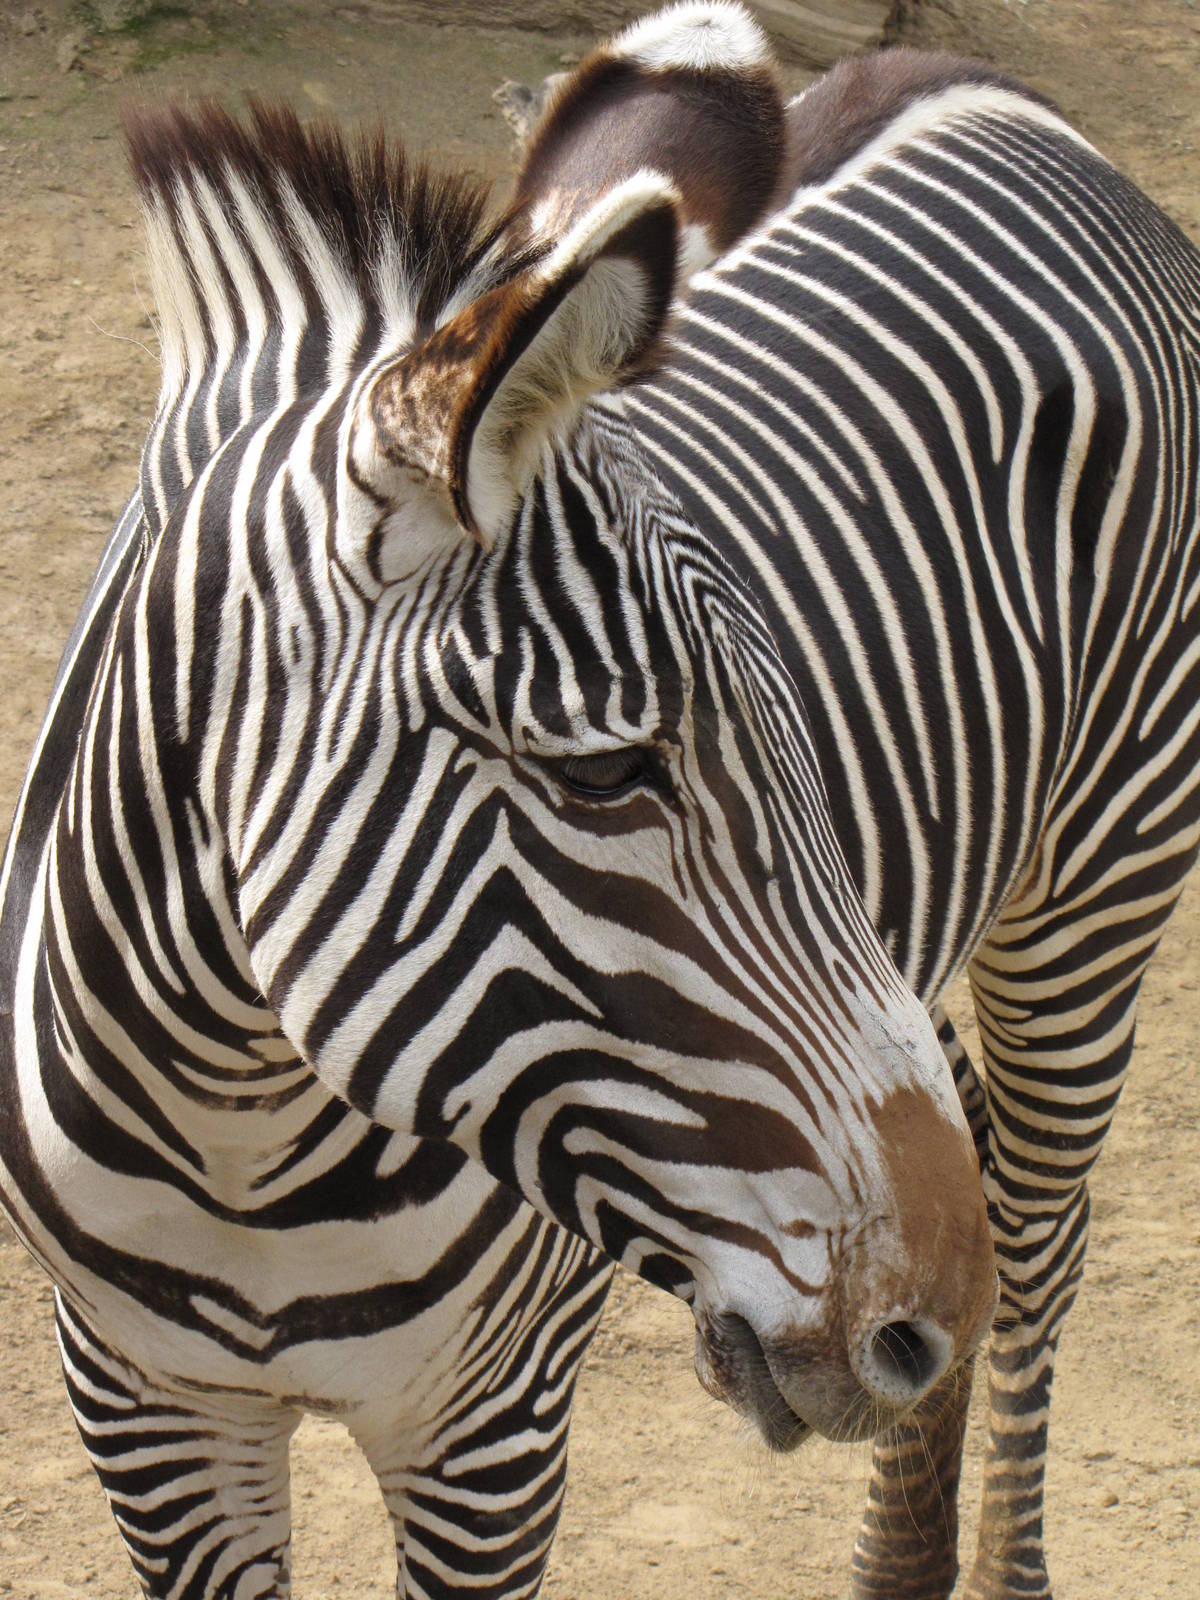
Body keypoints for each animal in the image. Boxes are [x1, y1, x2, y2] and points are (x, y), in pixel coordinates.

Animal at [0, 6, 1000, 1599]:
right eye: (603, 772)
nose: (936, 1309)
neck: (235, 1138)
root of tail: (968, 83)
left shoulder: (492, 1434)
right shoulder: (141, 1410)